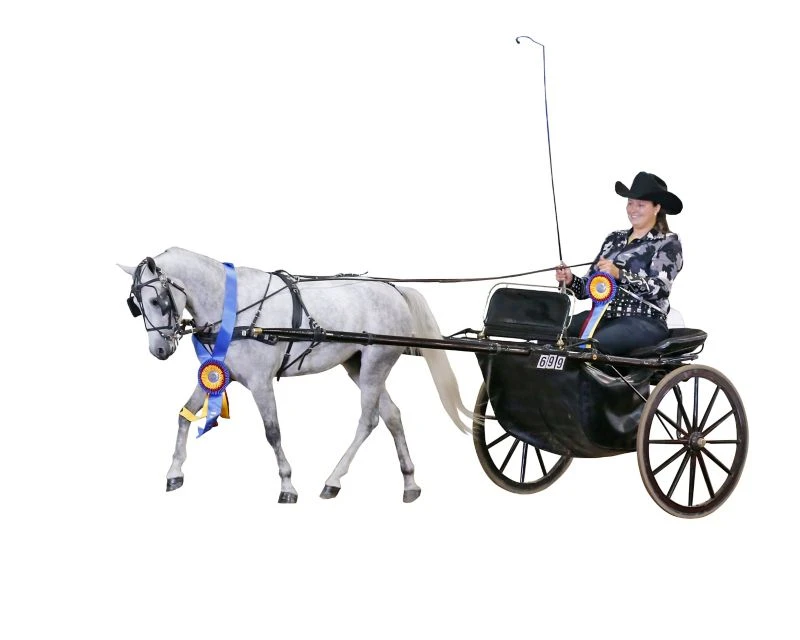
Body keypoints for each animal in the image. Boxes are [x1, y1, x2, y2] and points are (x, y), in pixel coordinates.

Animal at [119, 247, 473, 503]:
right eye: (136, 305)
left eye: (156, 300)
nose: (159, 350)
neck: (233, 307)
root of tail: (395, 291)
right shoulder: (220, 374)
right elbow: (185, 414)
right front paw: (174, 472)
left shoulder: (260, 382)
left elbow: (272, 432)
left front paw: (287, 486)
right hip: (358, 366)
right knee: (393, 416)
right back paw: (409, 482)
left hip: (376, 363)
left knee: (369, 420)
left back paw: (333, 480)